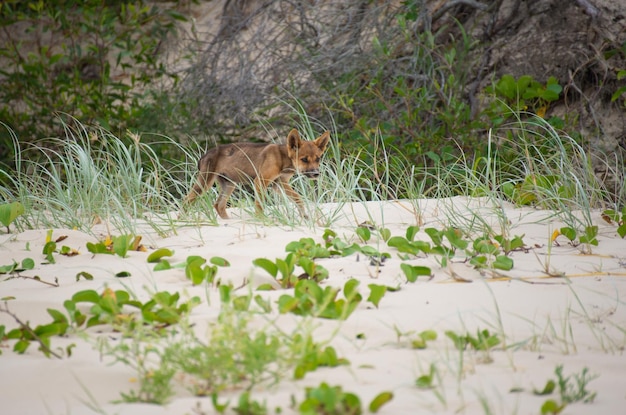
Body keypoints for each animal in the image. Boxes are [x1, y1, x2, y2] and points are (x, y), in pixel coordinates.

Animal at [184, 128, 330, 219]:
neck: (283, 159)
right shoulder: (261, 181)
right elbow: (260, 205)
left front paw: (304, 215)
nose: (316, 174)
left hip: (229, 185)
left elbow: (298, 198)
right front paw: (262, 220)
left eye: (318, 159)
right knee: (186, 201)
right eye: (304, 159)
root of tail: (204, 155)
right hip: (205, 184)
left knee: (218, 205)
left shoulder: (279, 183)